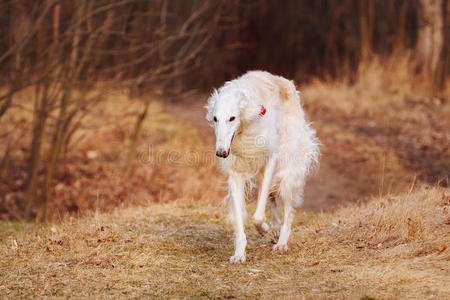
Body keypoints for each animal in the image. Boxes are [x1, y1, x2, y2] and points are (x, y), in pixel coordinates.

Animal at [206, 70, 318, 262]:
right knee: (272, 200)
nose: (221, 152)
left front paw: (263, 229)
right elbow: (240, 219)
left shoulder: (270, 161)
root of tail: (284, 81)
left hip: (287, 170)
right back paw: (275, 229)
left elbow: (257, 216)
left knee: (287, 210)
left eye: (232, 118)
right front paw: (239, 254)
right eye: (215, 118)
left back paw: (281, 241)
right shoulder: (236, 172)